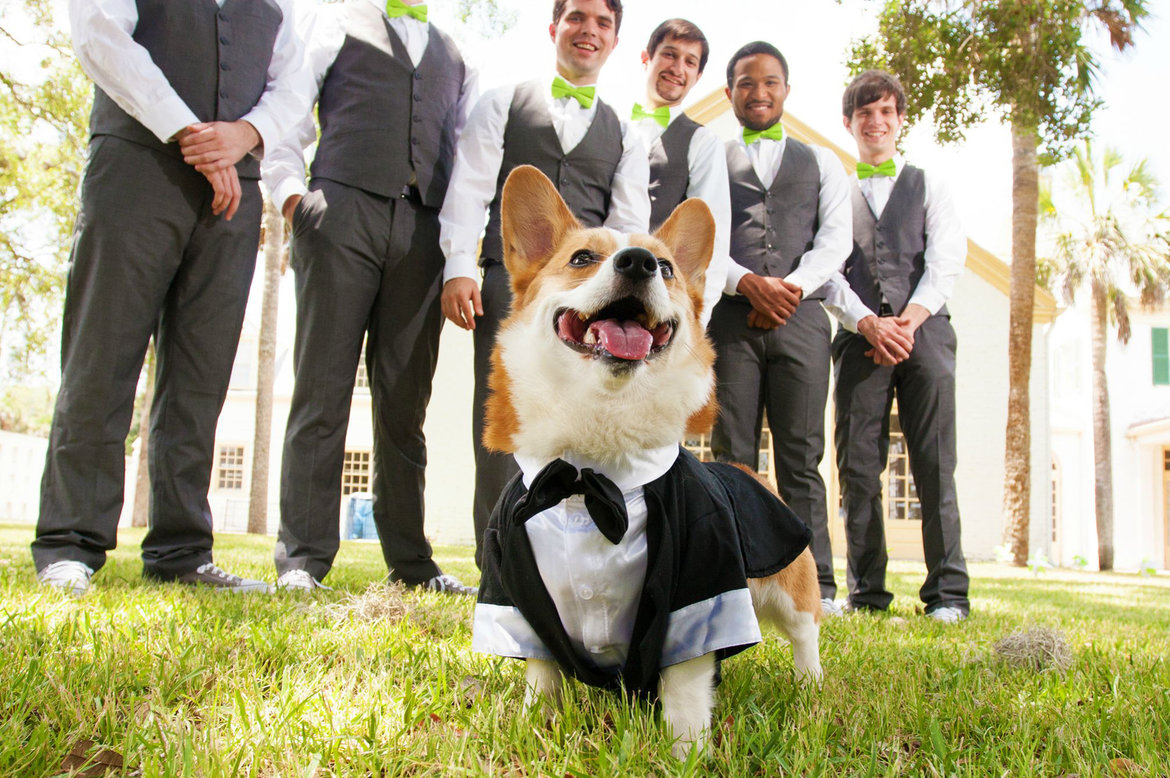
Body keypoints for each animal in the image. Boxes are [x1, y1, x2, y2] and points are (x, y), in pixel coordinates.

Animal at [475, 167, 823, 753]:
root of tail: (744, 468)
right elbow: (542, 676)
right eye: (582, 258)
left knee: (806, 632)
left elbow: (684, 688)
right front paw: (534, 728)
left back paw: (809, 690)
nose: (638, 262)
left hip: (788, 586)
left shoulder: (700, 587)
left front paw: (686, 752)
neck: (588, 475)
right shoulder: (515, 593)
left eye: (665, 267)